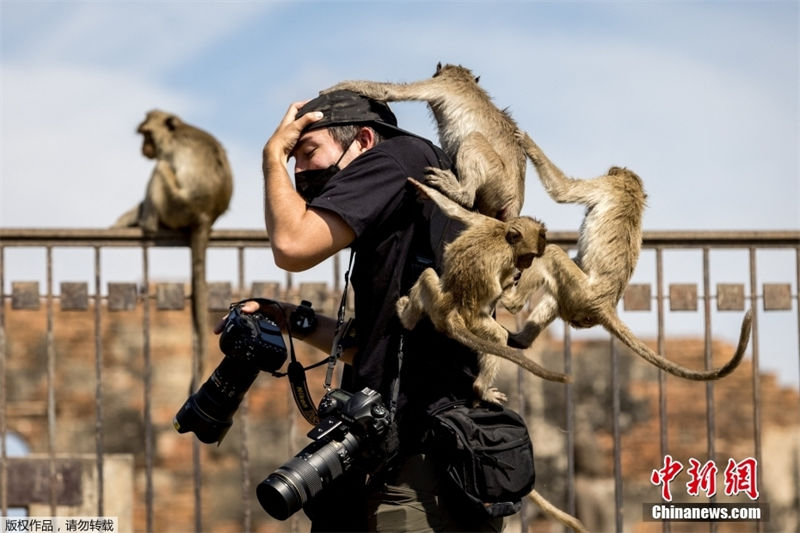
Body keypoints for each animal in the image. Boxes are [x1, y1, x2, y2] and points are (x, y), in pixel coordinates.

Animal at [112, 111, 233, 386]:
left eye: (147, 134)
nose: (144, 147)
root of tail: (205, 216)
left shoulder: (168, 152)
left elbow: (161, 167)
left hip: (177, 205)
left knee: (160, 169)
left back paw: (147, 224)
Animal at [322, 62, 528, 220]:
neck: (465, 80)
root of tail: (516, 198)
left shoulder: (443, 84)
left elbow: (389, 92)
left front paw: (337, 87)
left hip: (498, 179)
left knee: (474, 139)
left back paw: (462, 194)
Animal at [396, 179, 568, 404]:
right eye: (529, 256)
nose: (527, 265)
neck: (504, 236)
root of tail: (450, 314)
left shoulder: (486, 222)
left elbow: (455, 211)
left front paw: (427, 191)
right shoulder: (506, 258)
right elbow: (502, 295)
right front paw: (510, 284)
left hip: (436, 301)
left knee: (427, 275)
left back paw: (406, 319)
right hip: (472, 321)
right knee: (497, 336)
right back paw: (481, 389)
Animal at [500, 132, 752, 382]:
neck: (632, 191)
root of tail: (605, 306)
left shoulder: (606, 185)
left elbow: (563, 190)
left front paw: (528, 142)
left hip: (582, 293)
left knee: (551, 254)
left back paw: (511, 302)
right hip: (578, 300)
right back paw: (520, 340)